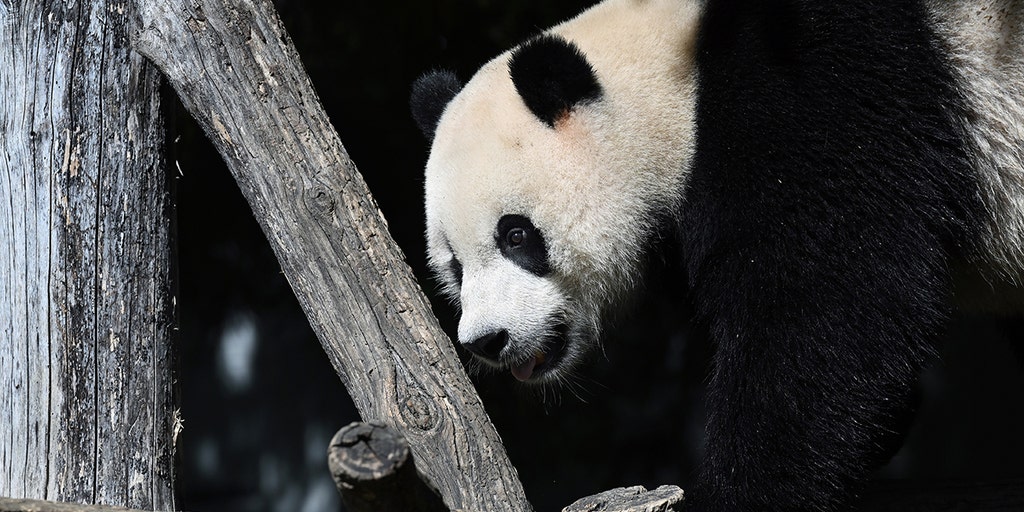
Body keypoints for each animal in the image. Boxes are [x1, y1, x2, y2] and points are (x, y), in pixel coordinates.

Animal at [410, 0, 1024, 510]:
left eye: (516, 236)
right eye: (454, 267)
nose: (488, 340)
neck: (677, 76)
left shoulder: (815, 91)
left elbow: (832, 306)